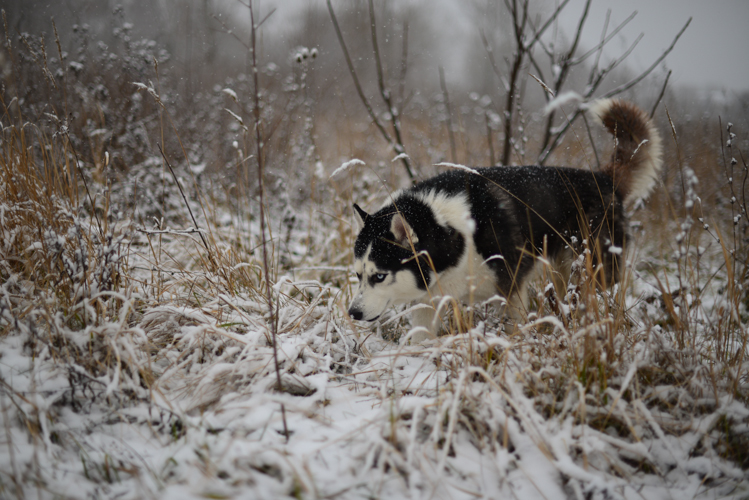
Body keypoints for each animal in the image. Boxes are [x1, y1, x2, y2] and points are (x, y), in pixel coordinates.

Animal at [346, 99, 660, 338]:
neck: (453, 233)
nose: (353, 313)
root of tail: (603, 179)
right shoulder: (429, 300)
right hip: (564, 273)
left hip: (592, 271)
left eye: (379, 276)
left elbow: (513, 327)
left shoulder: (511, 291)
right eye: (358, 275)